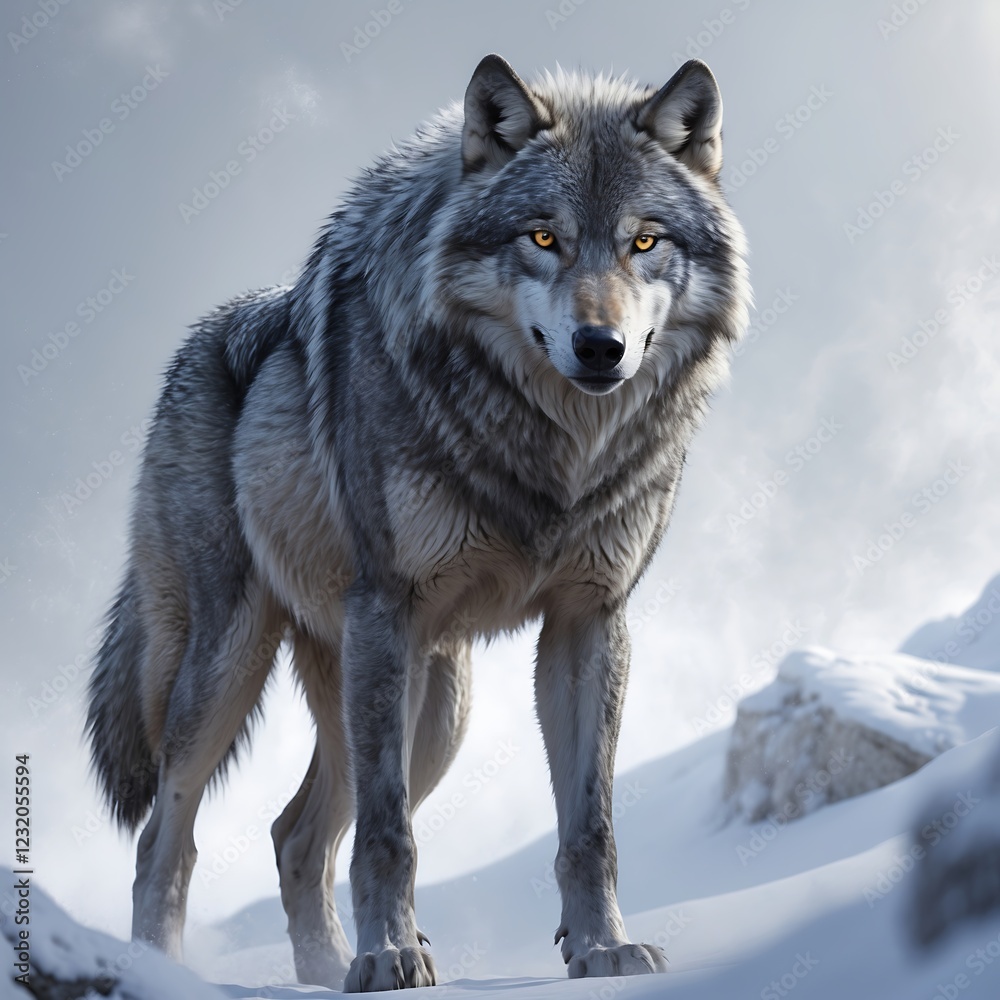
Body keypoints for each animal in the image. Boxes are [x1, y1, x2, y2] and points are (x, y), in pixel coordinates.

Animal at [86, 54, 749, 991]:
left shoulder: (588, 618)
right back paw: (181, 974)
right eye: (542, 239)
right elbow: (388, 832)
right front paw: (392, 955)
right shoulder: (385, 609)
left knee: (295, 836)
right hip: (236, 663)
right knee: (165, 838)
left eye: (644, 242)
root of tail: (197, 342)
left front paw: (602, 949)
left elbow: (590, 827)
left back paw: (326, 972)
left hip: (436, 710)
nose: (600, 347)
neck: (550, 455)